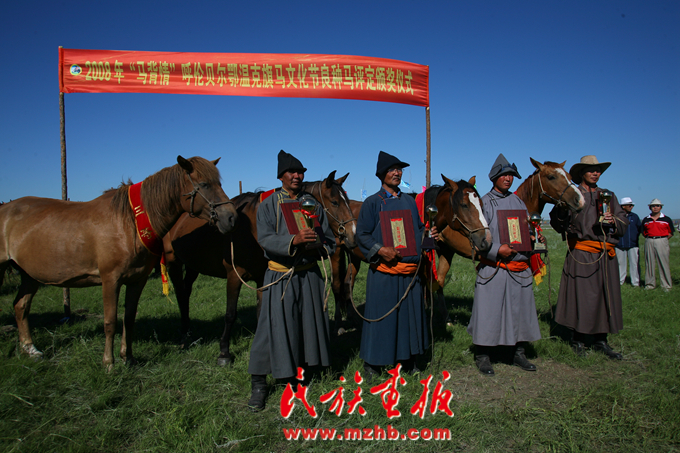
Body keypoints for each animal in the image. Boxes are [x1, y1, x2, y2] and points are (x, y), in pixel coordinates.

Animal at [0, 156, 238, 370]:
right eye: (204, 184)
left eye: (219, 183)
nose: (231, 217)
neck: (128, 223)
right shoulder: (110, 280)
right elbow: (110, 322)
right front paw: (109, 363)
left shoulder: (137, 280)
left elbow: (128, 318)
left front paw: (128, 358)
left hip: (30, 275)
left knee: (21, 307)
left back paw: (30, 350)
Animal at [163, 171, 357, 366]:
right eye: (335, 202)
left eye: (347, 201)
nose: (353, 234)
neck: (251, 230)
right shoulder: (234, 277)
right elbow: (230, 314)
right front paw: (224, 352)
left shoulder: (262, 278)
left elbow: (261, 310)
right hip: (173, 262)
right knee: (180, 293)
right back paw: (183, 337)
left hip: (193, 266)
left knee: (186, 291)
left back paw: (187, 331)